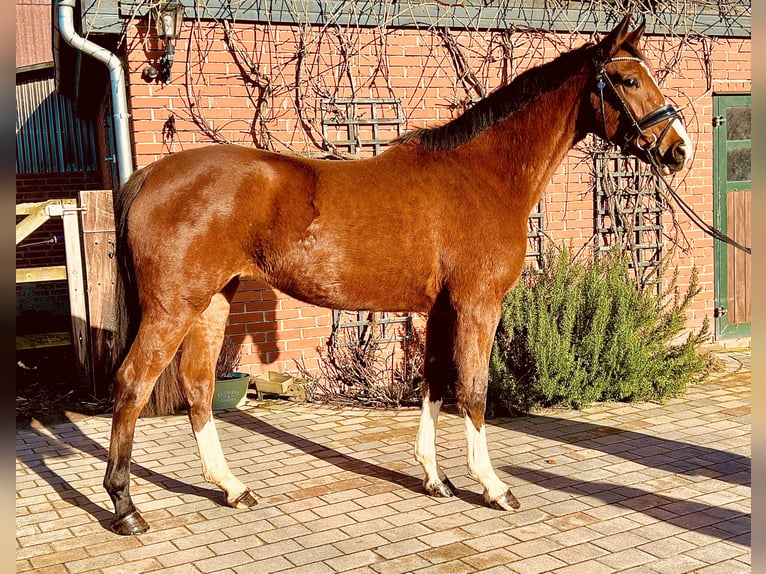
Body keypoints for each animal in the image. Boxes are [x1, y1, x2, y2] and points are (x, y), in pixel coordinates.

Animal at [102, 13, 688, 536]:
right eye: (629, 79)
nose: (677, 149)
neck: (482, 174)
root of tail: (151, 175)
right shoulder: (479, 306)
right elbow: (474, 390)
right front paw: (493, 487)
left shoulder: (441, 310)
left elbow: (434, 383)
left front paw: (435, 478)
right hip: (172, 308)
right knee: (132, 384)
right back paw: (126, 509)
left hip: (211, 302)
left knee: (198, 387)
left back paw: (232, 488)